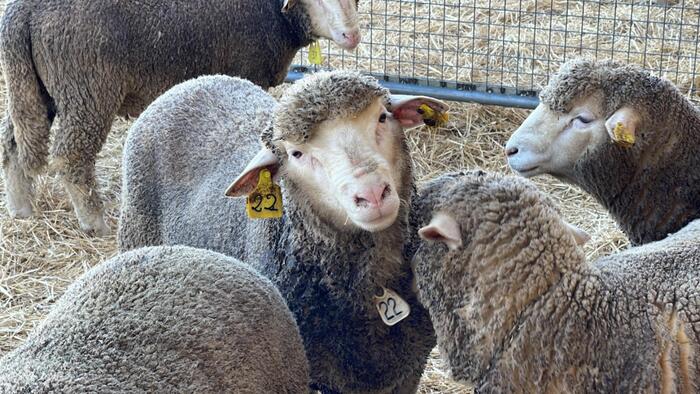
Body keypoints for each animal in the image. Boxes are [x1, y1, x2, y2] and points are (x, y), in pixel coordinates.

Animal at [1, 0, 360, 235]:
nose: (353, 36)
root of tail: (22, 13)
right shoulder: (245, 70)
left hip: (35, 88)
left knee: (14, 141)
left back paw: (21, 207)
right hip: (86, 90)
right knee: (71, 156)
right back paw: (94, 222)